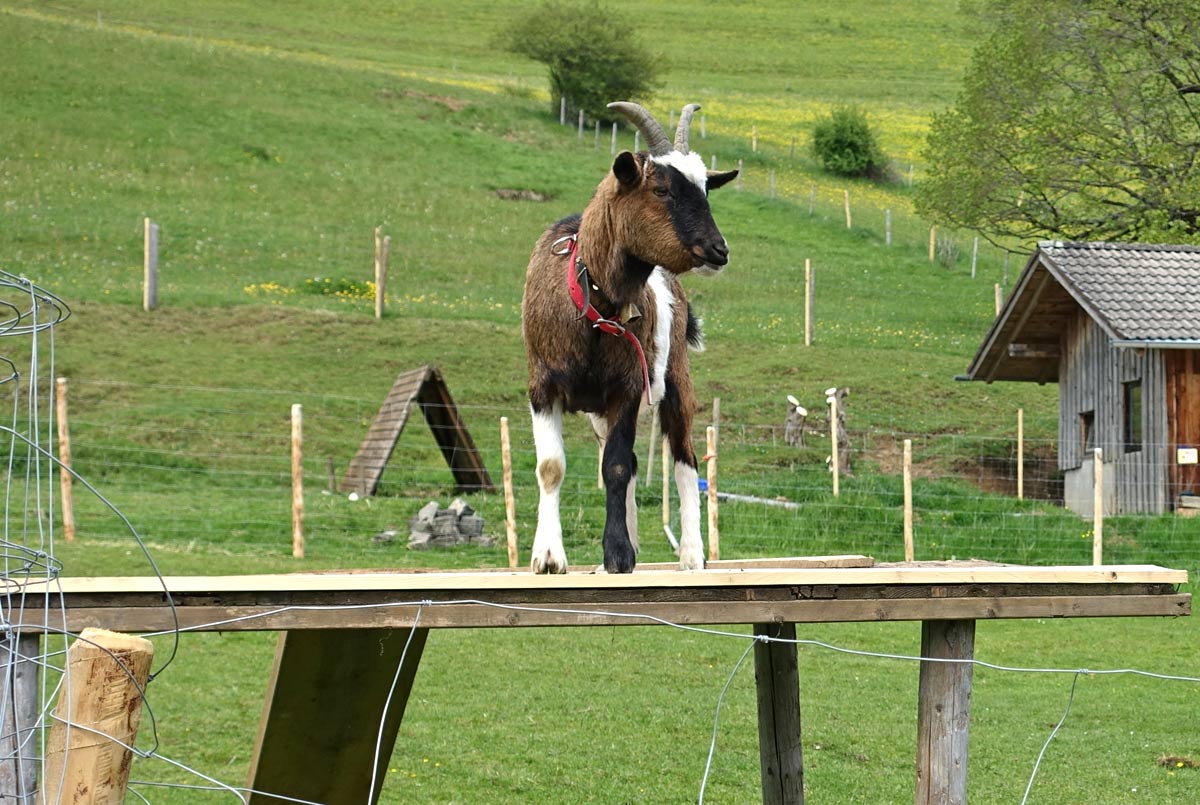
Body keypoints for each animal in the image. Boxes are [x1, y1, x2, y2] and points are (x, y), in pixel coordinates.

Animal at [522, 101, 737, 574]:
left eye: (706, 190)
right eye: (660, 190)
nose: (719, 250)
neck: (592, 306)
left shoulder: (627, 386)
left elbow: (617, 468)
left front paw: (618, 553)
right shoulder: (543, 386)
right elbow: (553, 466)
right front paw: (549, 556)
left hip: (675, 378)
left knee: (684, 459)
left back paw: (691, 555)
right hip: (601, 409)